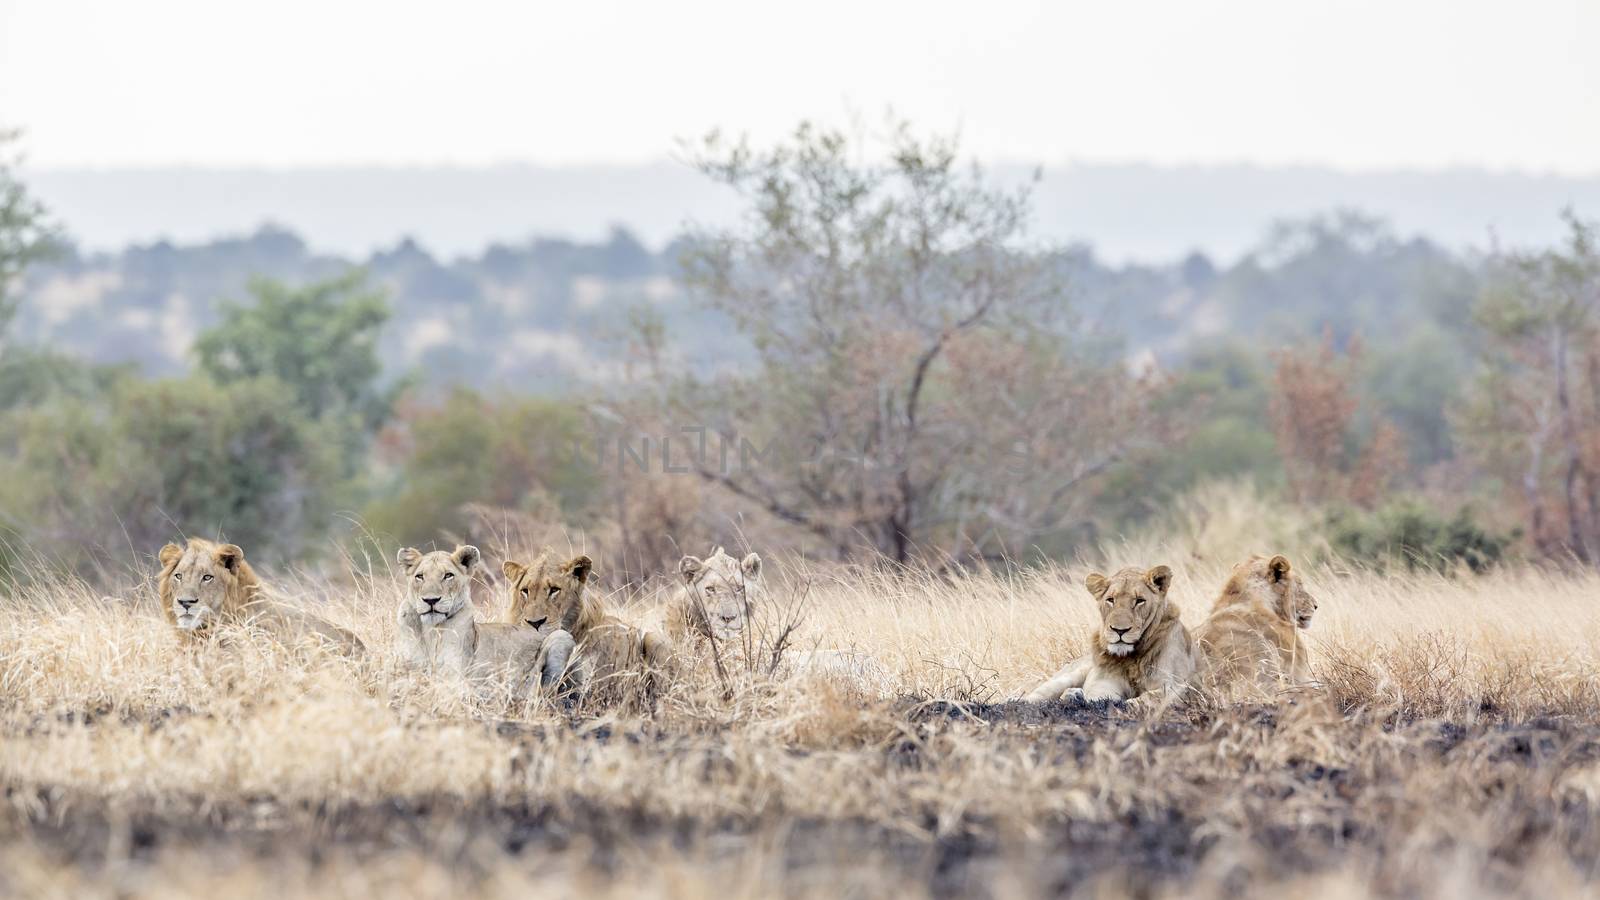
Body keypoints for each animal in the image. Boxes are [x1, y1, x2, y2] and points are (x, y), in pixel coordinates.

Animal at [393, 538, 576, 695]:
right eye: (420, 576)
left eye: (448, 575)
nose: (431, 600)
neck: (430, 630)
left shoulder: (456, 675)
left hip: (562, 636)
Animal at [1030, 563, 1196, 704]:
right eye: (1110, 600)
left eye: (1139, 600)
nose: (1119, 630)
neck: (1132, 660)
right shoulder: (1102, 684)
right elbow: (1099, 698)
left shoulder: (1179, 685)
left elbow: (1151, 696)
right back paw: (1071, 695)